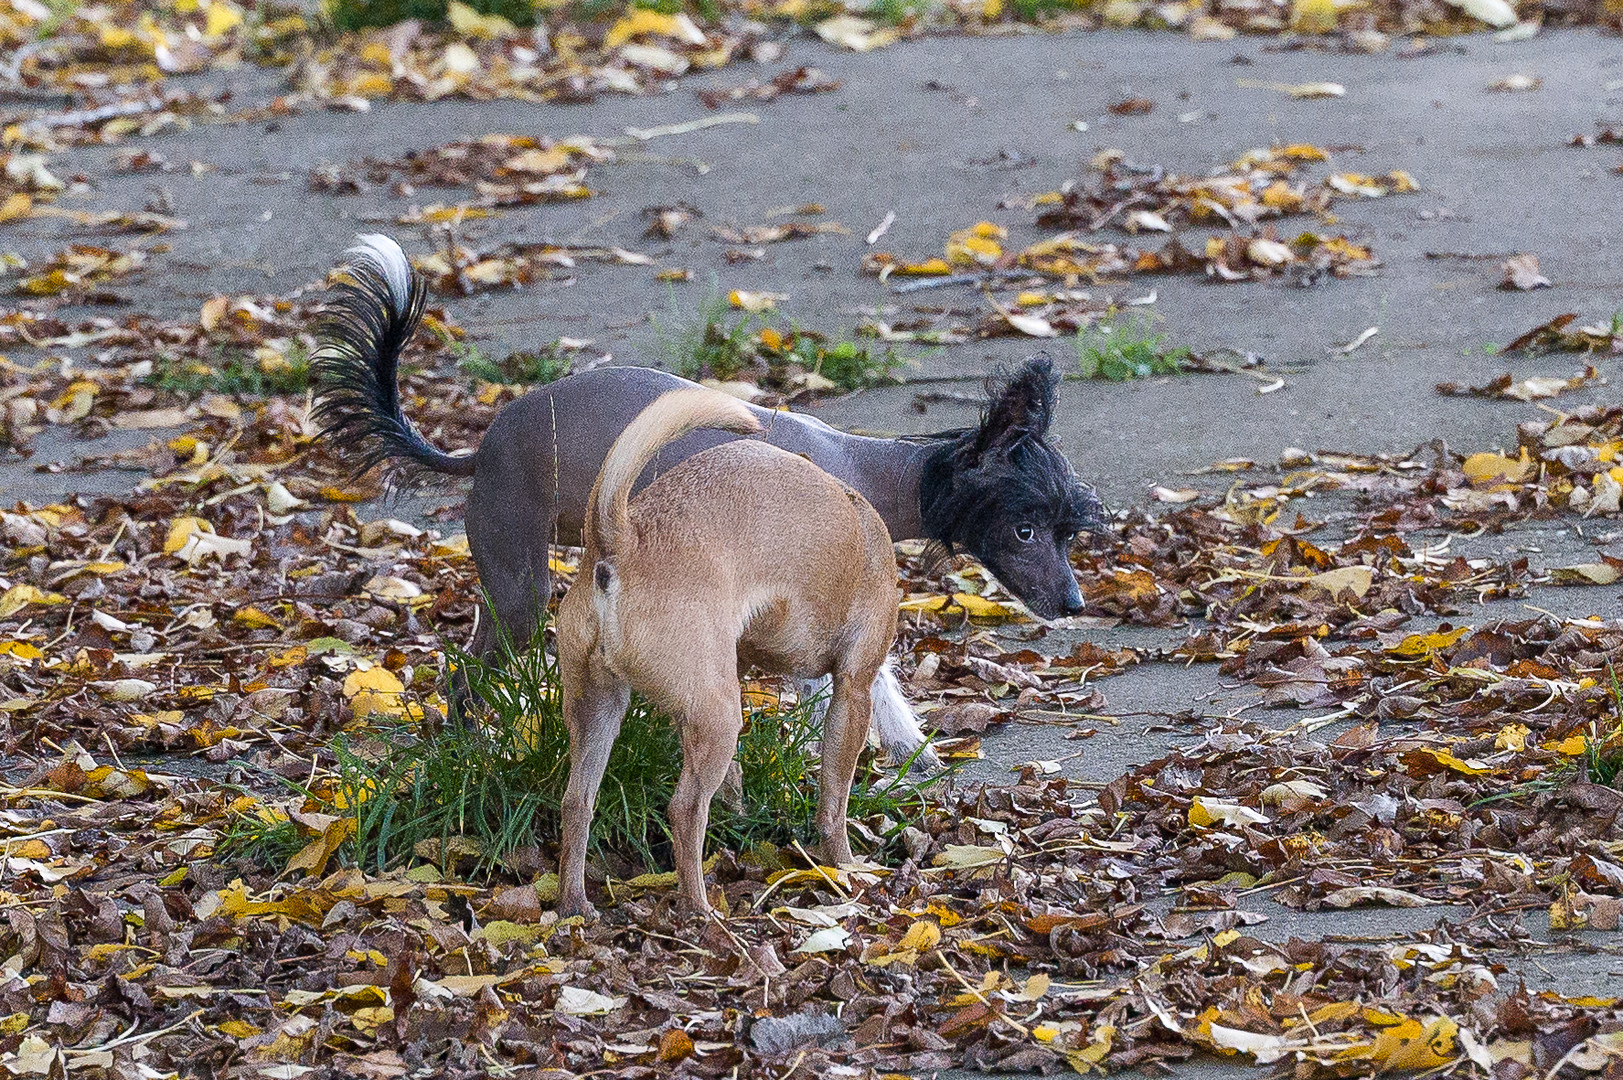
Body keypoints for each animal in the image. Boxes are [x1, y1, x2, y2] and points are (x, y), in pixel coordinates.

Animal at [558, 383, 902, 915]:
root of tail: (624, 539)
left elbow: (739, 778)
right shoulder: (854, 689)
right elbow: (834, 797)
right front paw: (845, 865)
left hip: (600, 710)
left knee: (578, 803)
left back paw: (575, 905)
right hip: (719, 715)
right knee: (684, 810)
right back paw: (700, 909)